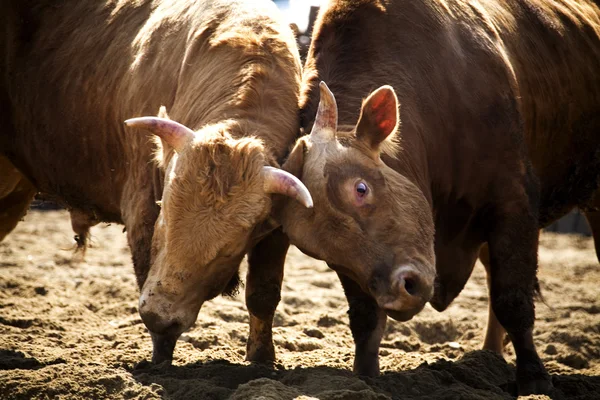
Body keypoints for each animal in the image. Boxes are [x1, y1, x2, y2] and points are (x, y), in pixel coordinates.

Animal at [1, 0, 314, 364]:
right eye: (164, 219)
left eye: (230, 248)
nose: (160, 315)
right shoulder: (141, 205)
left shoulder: (276, 232)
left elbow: (263, 294)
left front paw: (261, 358)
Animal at [268, 0, 600, 396]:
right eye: (322, 253)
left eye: (361, 189)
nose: (403, 290)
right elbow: (366, 317)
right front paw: (366, 373)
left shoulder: (514, 202)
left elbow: (513, 298)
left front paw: (534, 377)